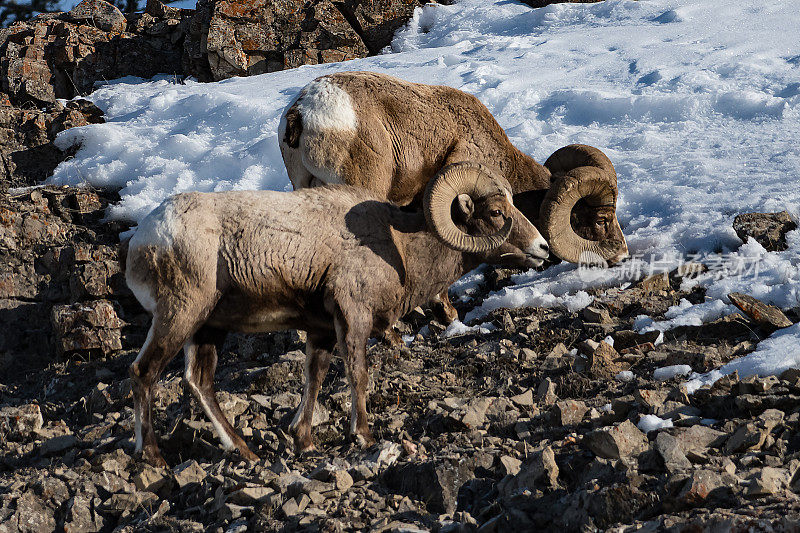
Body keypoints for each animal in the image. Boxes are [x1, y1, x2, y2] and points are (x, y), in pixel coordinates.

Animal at [125, 163, 552, 466]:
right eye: (496, 211)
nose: (542, 249)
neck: (400, 245)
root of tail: (143, 240)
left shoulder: (322, 332)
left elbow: (314, 377)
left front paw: (304, 441)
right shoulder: (354, 316)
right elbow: (357, 373)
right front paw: (363, 435)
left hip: (206, 329)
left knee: (200, 382)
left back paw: (245, 452)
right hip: (180, 315)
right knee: (144, 372)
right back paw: (154, 458)